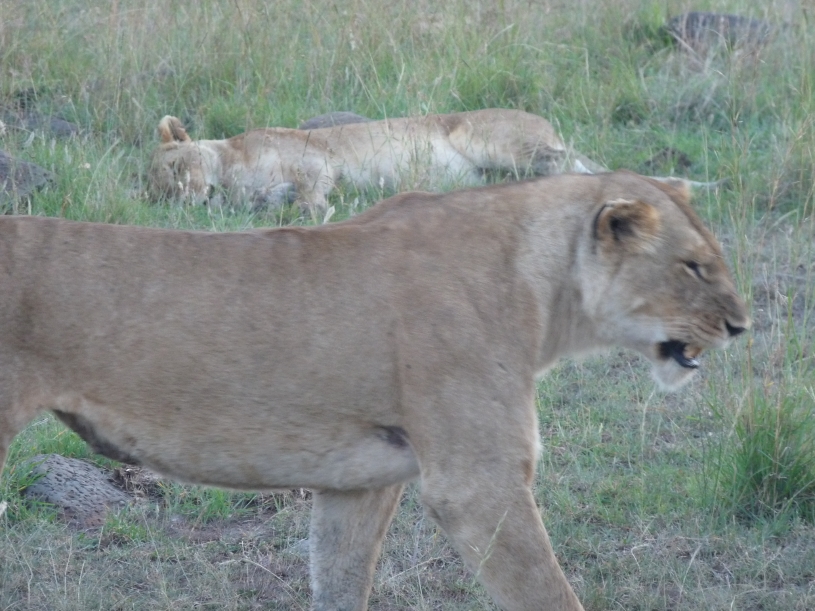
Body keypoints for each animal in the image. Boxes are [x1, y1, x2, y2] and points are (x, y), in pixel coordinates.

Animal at [0, 171, 749, 610]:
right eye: (692, 266)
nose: (741, 325)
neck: (543, 289)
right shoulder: (476, 484)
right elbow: (546, 592)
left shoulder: (359, 482)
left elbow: (339, 580)